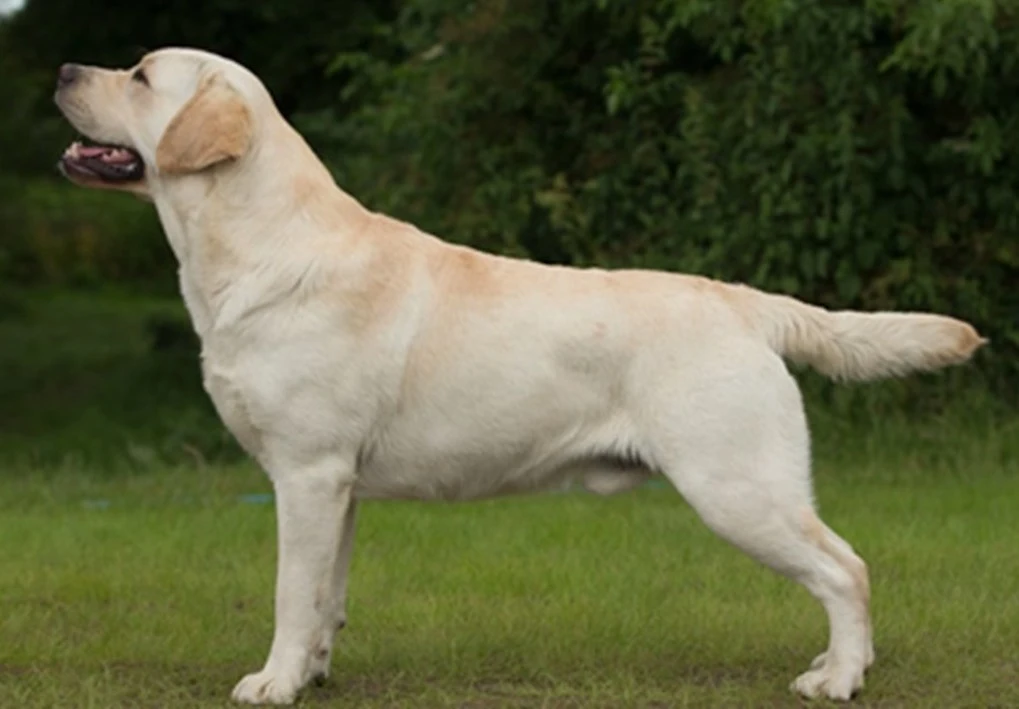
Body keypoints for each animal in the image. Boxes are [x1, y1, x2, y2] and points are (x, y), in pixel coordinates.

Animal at [55, 45, 986, 704]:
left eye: (140, 76)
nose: (63, 69)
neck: (256, 245)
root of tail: (744, 301)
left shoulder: (306, 473)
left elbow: (291, 592)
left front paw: (273, 682)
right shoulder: (337, 485)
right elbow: (326, 595)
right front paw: (313, 673)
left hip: (736, 484)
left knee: (845, 568)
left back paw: (839, 678)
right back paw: (837, 662)